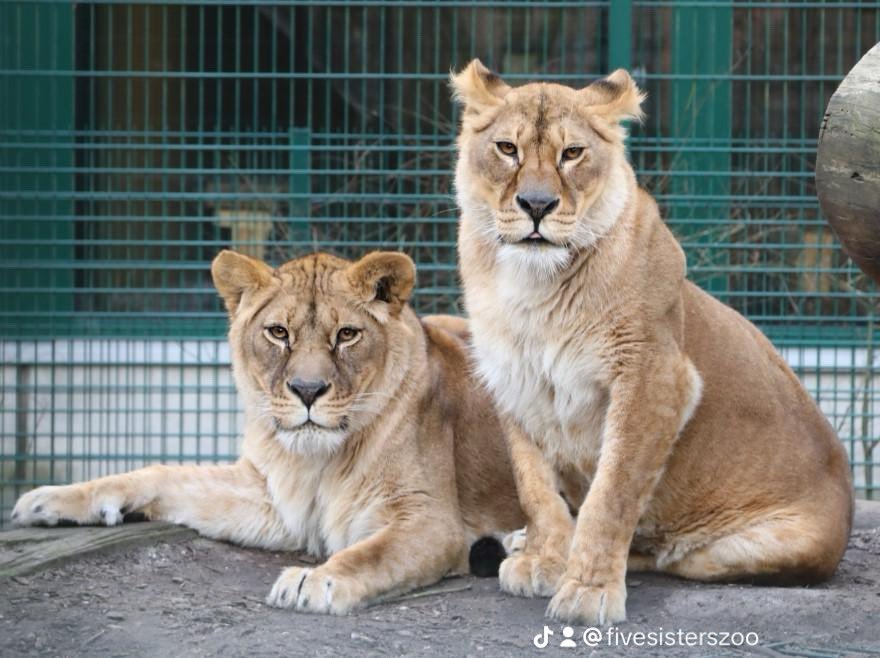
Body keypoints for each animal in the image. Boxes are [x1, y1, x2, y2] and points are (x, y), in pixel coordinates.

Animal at [11, 249, 524, 614]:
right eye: (278, 333)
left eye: (347, 335)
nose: (308, 390)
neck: (317, 459)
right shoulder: (272, 500)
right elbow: (163, 475)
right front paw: (50, 501)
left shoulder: (431, 520)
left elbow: (374, 553)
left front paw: (316, 579)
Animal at [450, 59, 854, 626]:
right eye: (507, 148)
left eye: (572, 153)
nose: (536, 204)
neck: (534, 286)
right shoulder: (512, 378)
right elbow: (534, 487)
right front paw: (545, 559)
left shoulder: (656, 377)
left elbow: (612, 493)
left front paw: (588, 589)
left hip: (754, 550)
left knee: (667, 553)